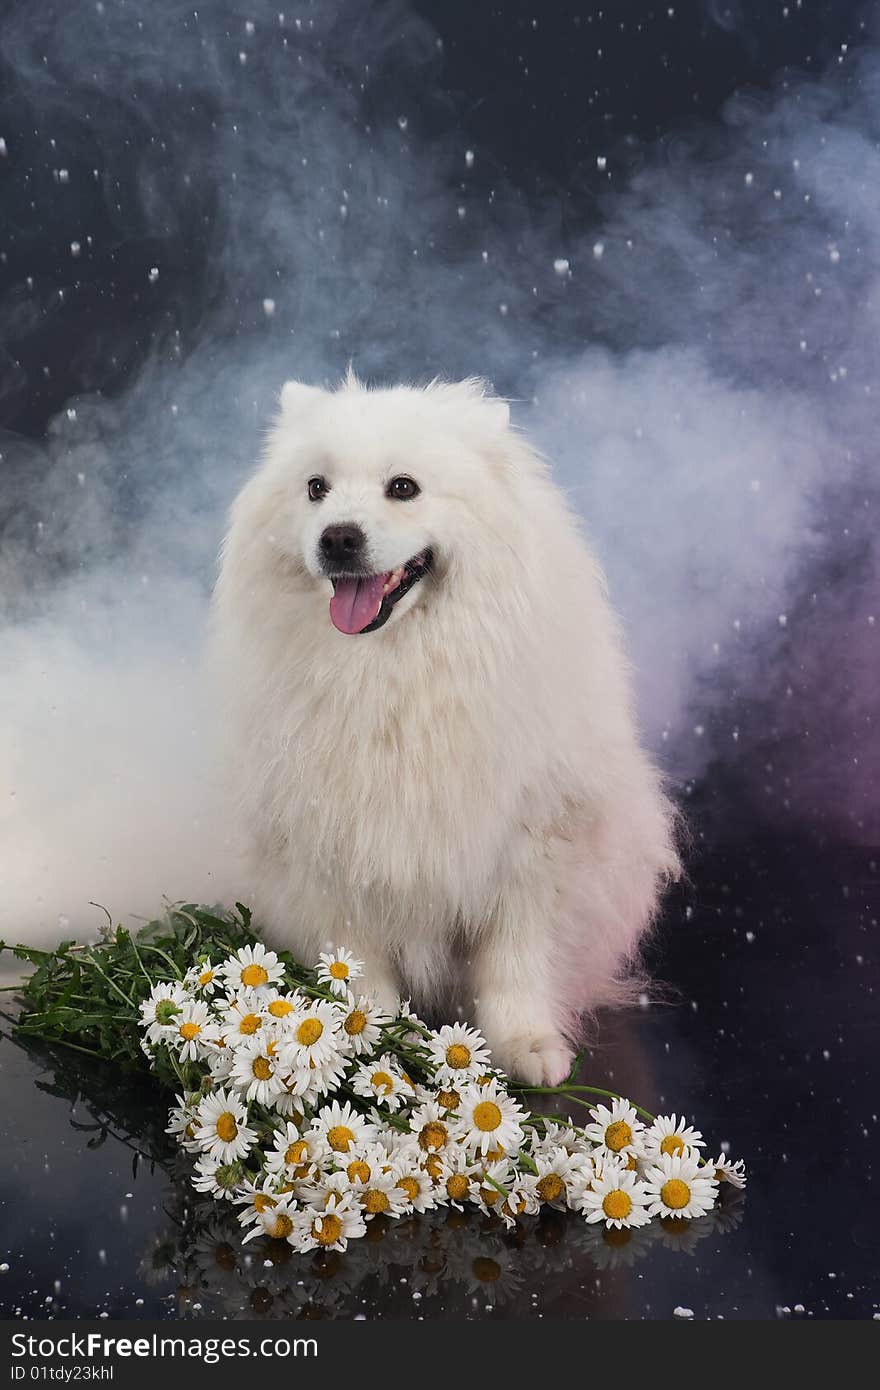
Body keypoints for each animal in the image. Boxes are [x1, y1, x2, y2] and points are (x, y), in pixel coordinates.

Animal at [212, 378, 678, 1084]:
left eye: (403, 487)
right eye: (316, 488)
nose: (337, 538)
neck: (393, 669)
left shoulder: (534, 842)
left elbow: (515, 960)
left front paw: (526, 1045)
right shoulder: (333, 845)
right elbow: (357, 965)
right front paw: (365, 1037)